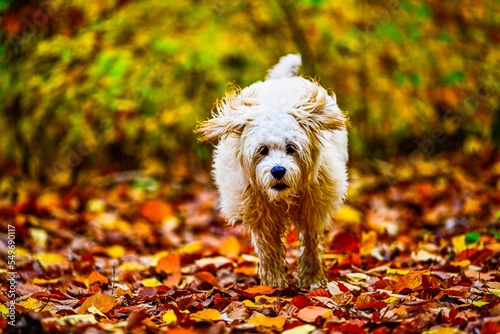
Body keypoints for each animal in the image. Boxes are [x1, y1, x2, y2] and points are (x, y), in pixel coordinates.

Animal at [195, 54, 348, 290]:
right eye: (263, 150)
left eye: (291, 148)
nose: (278, 171)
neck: (282, 198)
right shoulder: (259, 215)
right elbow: (268, 248)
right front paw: (273, 284)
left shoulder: (314, 209)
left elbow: (310, 243)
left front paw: (311, 280)